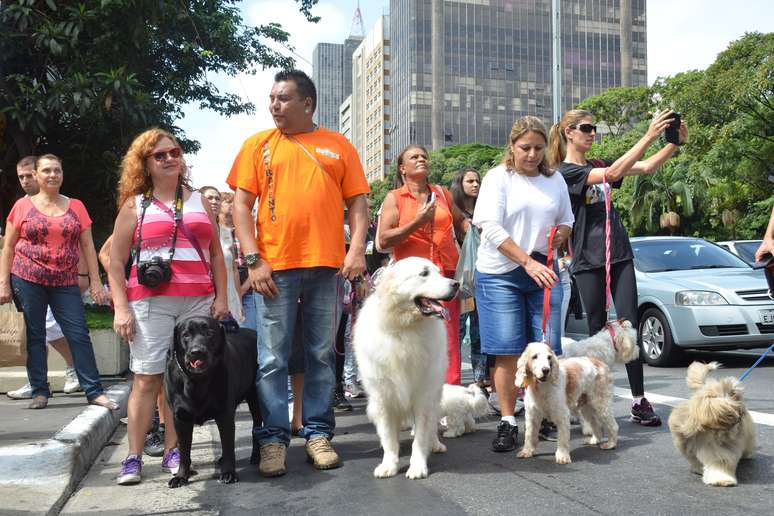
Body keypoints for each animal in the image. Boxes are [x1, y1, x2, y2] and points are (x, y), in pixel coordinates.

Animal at [165, 314, 262, 488]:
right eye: (186, 335)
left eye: (209, 333)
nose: (197, 352)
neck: (197, 382)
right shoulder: (180, 419)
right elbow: (184, 451)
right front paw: (181, 476)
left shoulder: (225, 415)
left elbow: (228, 445)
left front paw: (229, 473)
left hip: (255, 399)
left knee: (256, 426)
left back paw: (256, 456)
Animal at [356, 256, 460, 478]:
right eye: (424, 273)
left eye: (439, 272)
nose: (455, 284)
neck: (405, 329)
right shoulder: (383, 398)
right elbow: (389, 438)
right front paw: (389, 464)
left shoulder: (423, 396)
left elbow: (420, 438)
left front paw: (418, 467)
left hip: (435, 394)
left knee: (431, 426)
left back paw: (435, 444)